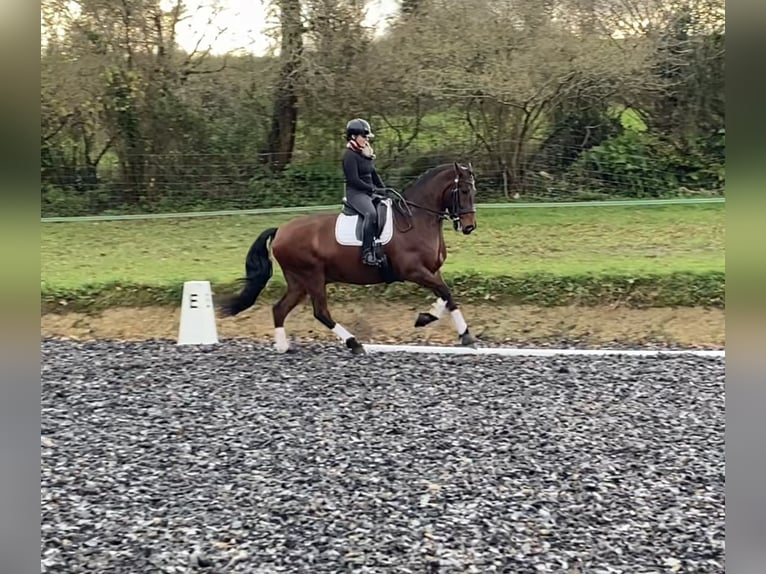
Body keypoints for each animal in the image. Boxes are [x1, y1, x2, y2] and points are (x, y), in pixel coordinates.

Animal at [219, 161, 479, 354]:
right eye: (464, 191)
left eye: (474, 191)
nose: (469, 227)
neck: (416, 219)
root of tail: (281, 230)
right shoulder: (414, 271)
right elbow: (446, 293)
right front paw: (463, 335)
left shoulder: (432, 270)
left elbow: (446, 296)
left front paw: (429, 319)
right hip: (312, 277)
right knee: (320, 312)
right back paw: (354, 344)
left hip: (299, 281)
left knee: (279, 309)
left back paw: (283, 347)